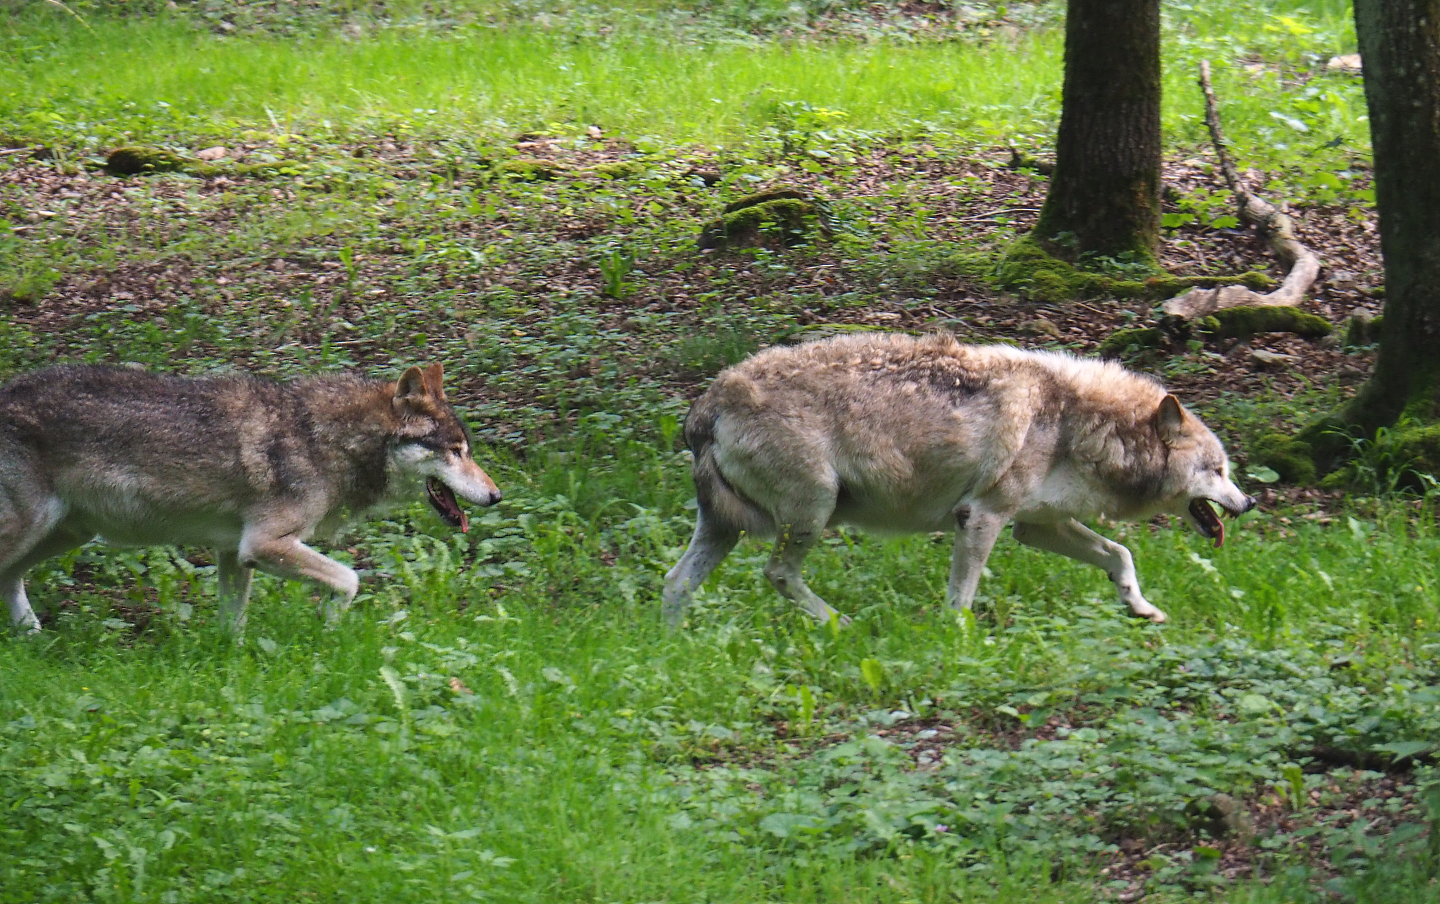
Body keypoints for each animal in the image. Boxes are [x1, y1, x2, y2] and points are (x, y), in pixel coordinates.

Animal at [0, 362, 500, 634]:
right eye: (456, 452)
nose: (497, 496)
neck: (326, 440)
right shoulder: (262, 545)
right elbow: (349, 580)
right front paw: (330, 629)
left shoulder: (233, 553)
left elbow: (232, 625)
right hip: (35, 530)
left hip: (66, 535)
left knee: (9, 579)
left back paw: (31, 636)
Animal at [663, 333, 1254, 627]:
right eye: (1218, 471)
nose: (1248, 503)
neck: (1079, 423)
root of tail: (707, 404)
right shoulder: (982, 517)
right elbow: (961, 599)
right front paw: (960, 642)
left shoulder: (1036, 528)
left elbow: (1120, 556)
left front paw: (1141, 608)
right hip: (813, 511)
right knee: (777, 574)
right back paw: (841, 625)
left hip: (728, 528)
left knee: (676, 582)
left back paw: (673, 650)